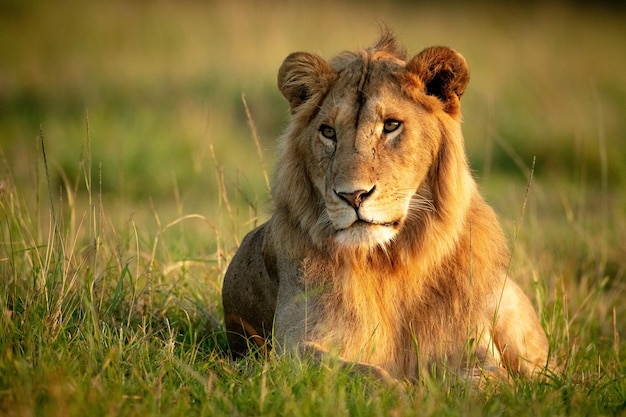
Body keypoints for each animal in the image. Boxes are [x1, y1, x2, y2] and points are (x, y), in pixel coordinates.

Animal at [221, 30, 552, 382]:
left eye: (391, 126)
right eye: (328, 132)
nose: (353, 196)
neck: (389, 262)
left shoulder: (471, 346)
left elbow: (487, 378)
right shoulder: (291, 349)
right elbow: (369, 376)